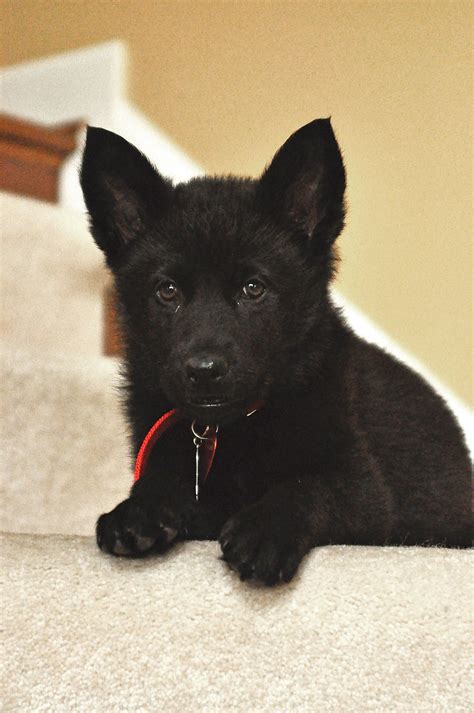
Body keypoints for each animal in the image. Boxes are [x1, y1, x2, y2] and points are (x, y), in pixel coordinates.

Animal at [79, 118, 472, 584]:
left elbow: (306, 485)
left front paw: (263, 531)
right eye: (167, 290)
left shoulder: (363, 488)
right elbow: (163, 480)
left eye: (254, 288)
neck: (228, 427)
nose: (204, 370)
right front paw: (138, 510)